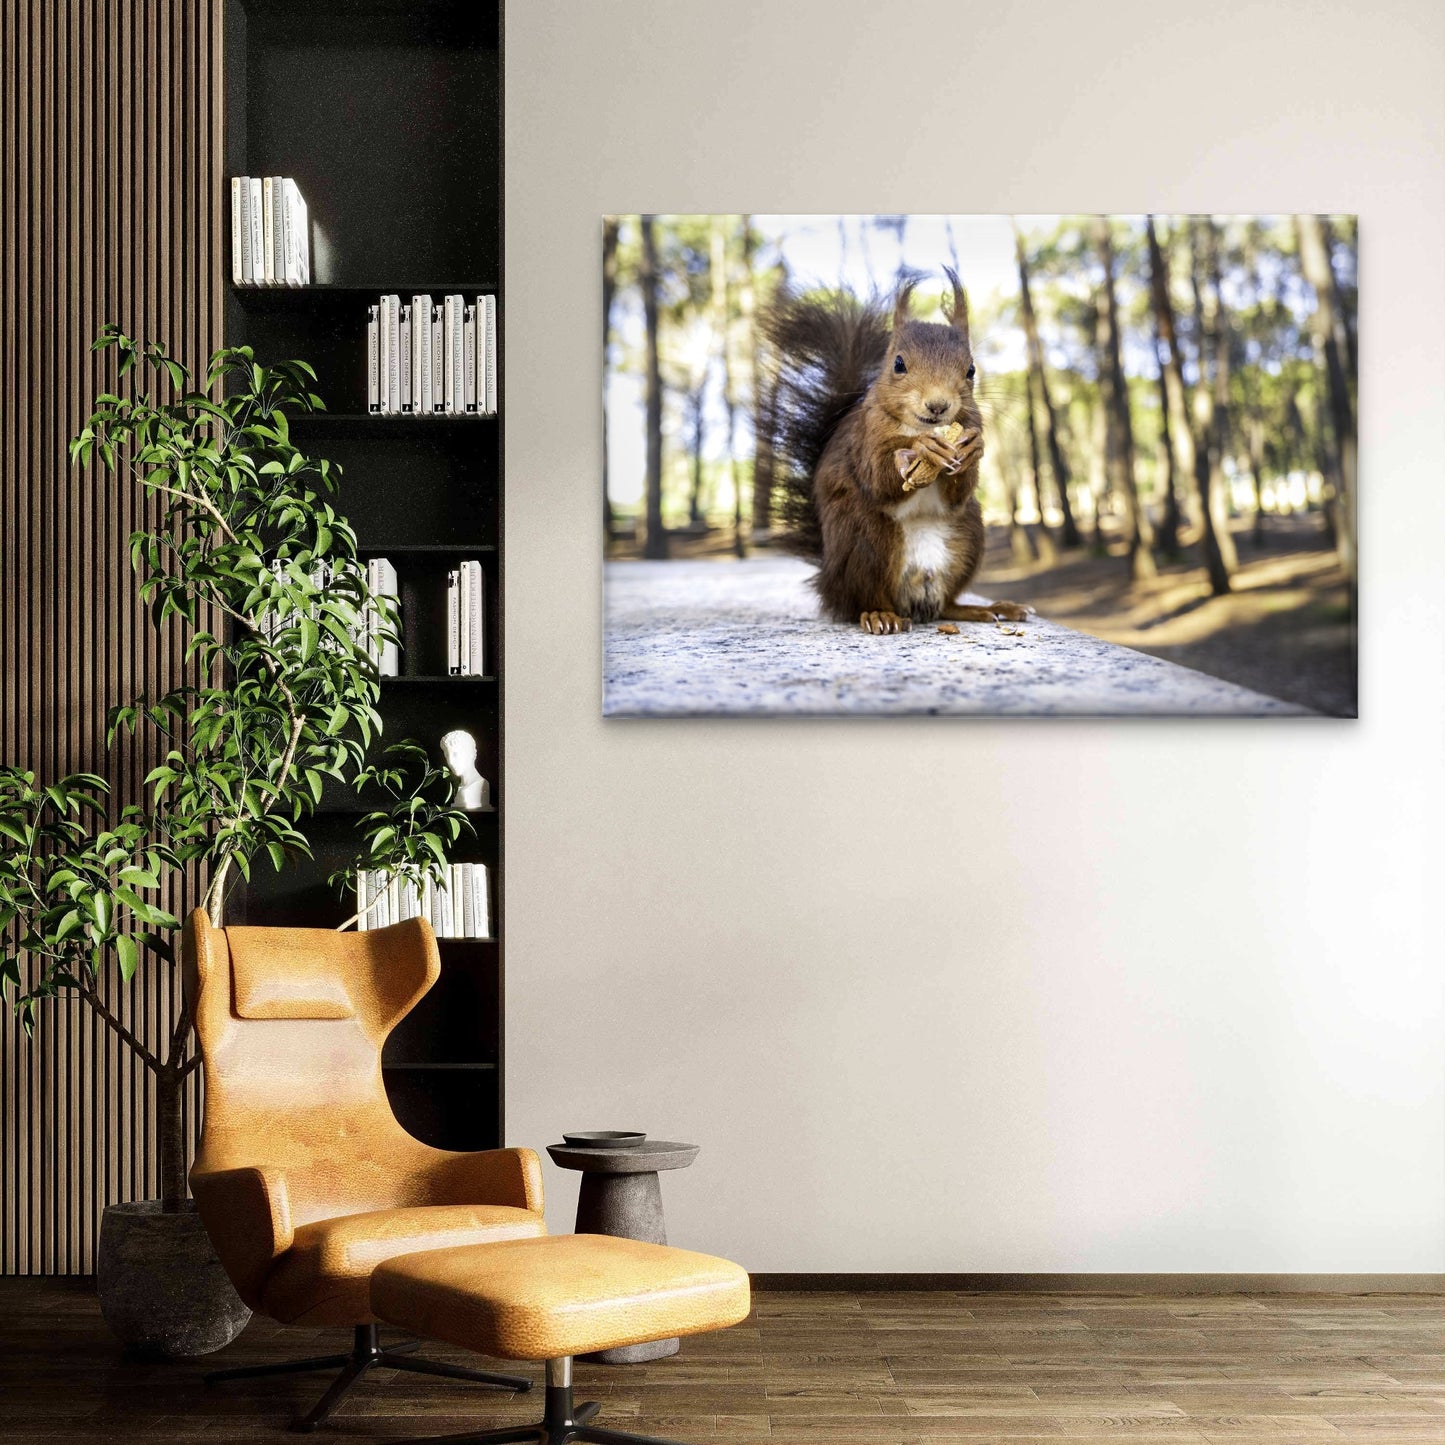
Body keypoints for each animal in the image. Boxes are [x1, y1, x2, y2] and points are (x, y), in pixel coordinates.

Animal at [764, 268, 1031, 635]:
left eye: (971, 369)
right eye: (899, 364)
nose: (938, 405)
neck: (919, 426)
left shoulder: (968, 426)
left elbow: (957, 493)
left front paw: (973, 449)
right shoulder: (866, 436)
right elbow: (878, 476)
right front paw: (918, 450)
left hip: (968, 537)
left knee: (947, 604)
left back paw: (988, 608)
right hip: (866, 541)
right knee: (865, 600)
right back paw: (880, 615)